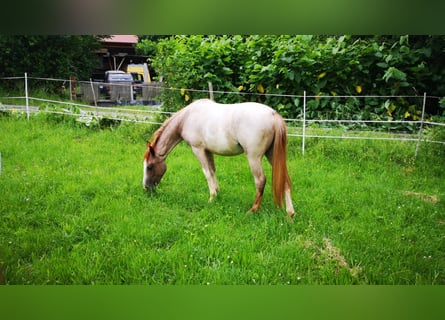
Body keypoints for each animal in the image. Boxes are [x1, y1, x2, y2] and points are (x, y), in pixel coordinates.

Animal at [143, 99, 294, 220]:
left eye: (149, 166)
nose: (146, 188)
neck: (187, 118)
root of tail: (273, 115)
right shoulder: (208, 151)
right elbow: (212, 171)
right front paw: (217, 192)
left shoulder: (198, 149)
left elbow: (207, 173)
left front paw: (212, 197)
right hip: (271, 155)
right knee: (285, 180)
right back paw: (290, 213)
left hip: (254, 157)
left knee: (260, 181)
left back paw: (253, 210)